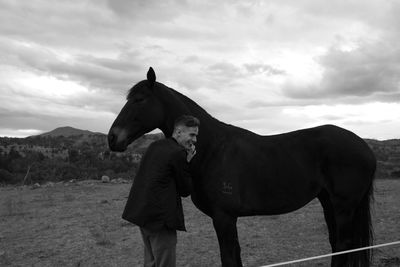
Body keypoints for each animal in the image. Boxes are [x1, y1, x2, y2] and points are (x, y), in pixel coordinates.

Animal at [108, 67, 376, 267]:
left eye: (139, 100)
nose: (112, 138)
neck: (212, 149)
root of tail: (364, 147)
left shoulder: (224, 217)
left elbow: (229, 258)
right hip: (328, 201)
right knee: (337, 245)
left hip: (343, 206)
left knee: (343, 245)